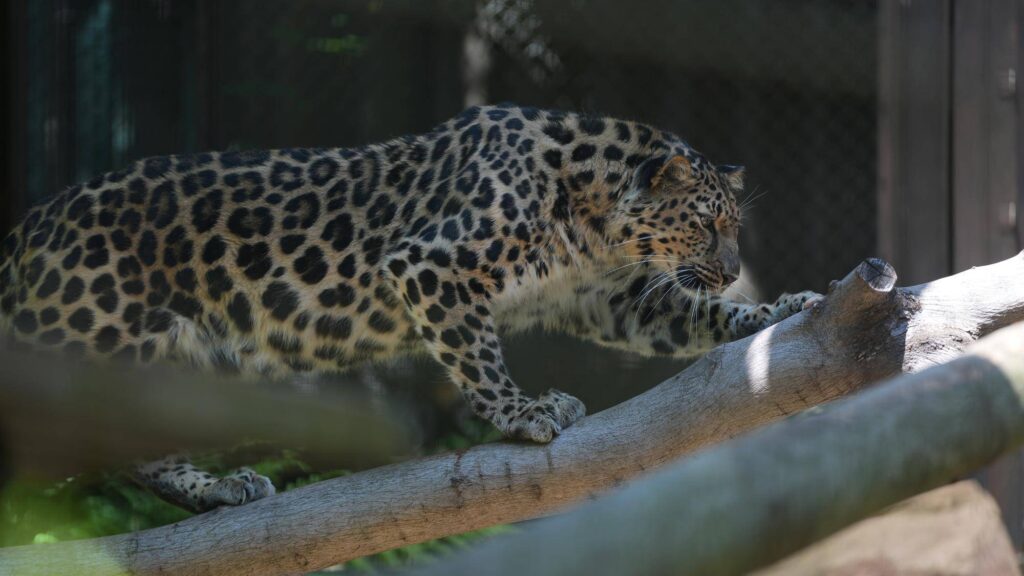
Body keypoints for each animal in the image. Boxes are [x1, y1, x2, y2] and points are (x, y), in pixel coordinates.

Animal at [0, 104, 820, 512]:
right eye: (706, 224)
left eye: (733, 228)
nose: (732, 270)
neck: (592, 215)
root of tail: (28, 226)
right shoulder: (431, 265)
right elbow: (477, 355)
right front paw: (524, 412)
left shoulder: (610, 299)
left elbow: (695, 320)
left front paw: (781, 308)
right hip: (79, 340)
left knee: (142, 449)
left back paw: (220, 491)